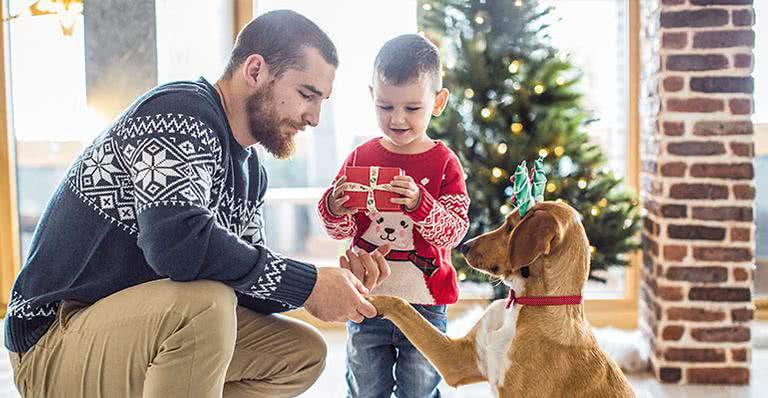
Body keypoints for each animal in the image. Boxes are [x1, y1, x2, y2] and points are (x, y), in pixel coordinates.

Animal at [368, 202, 632, 398]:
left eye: (510, 227)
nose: (464, 246)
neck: (521, 306)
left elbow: (402, 304)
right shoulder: (458, 360)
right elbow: (403, 306)